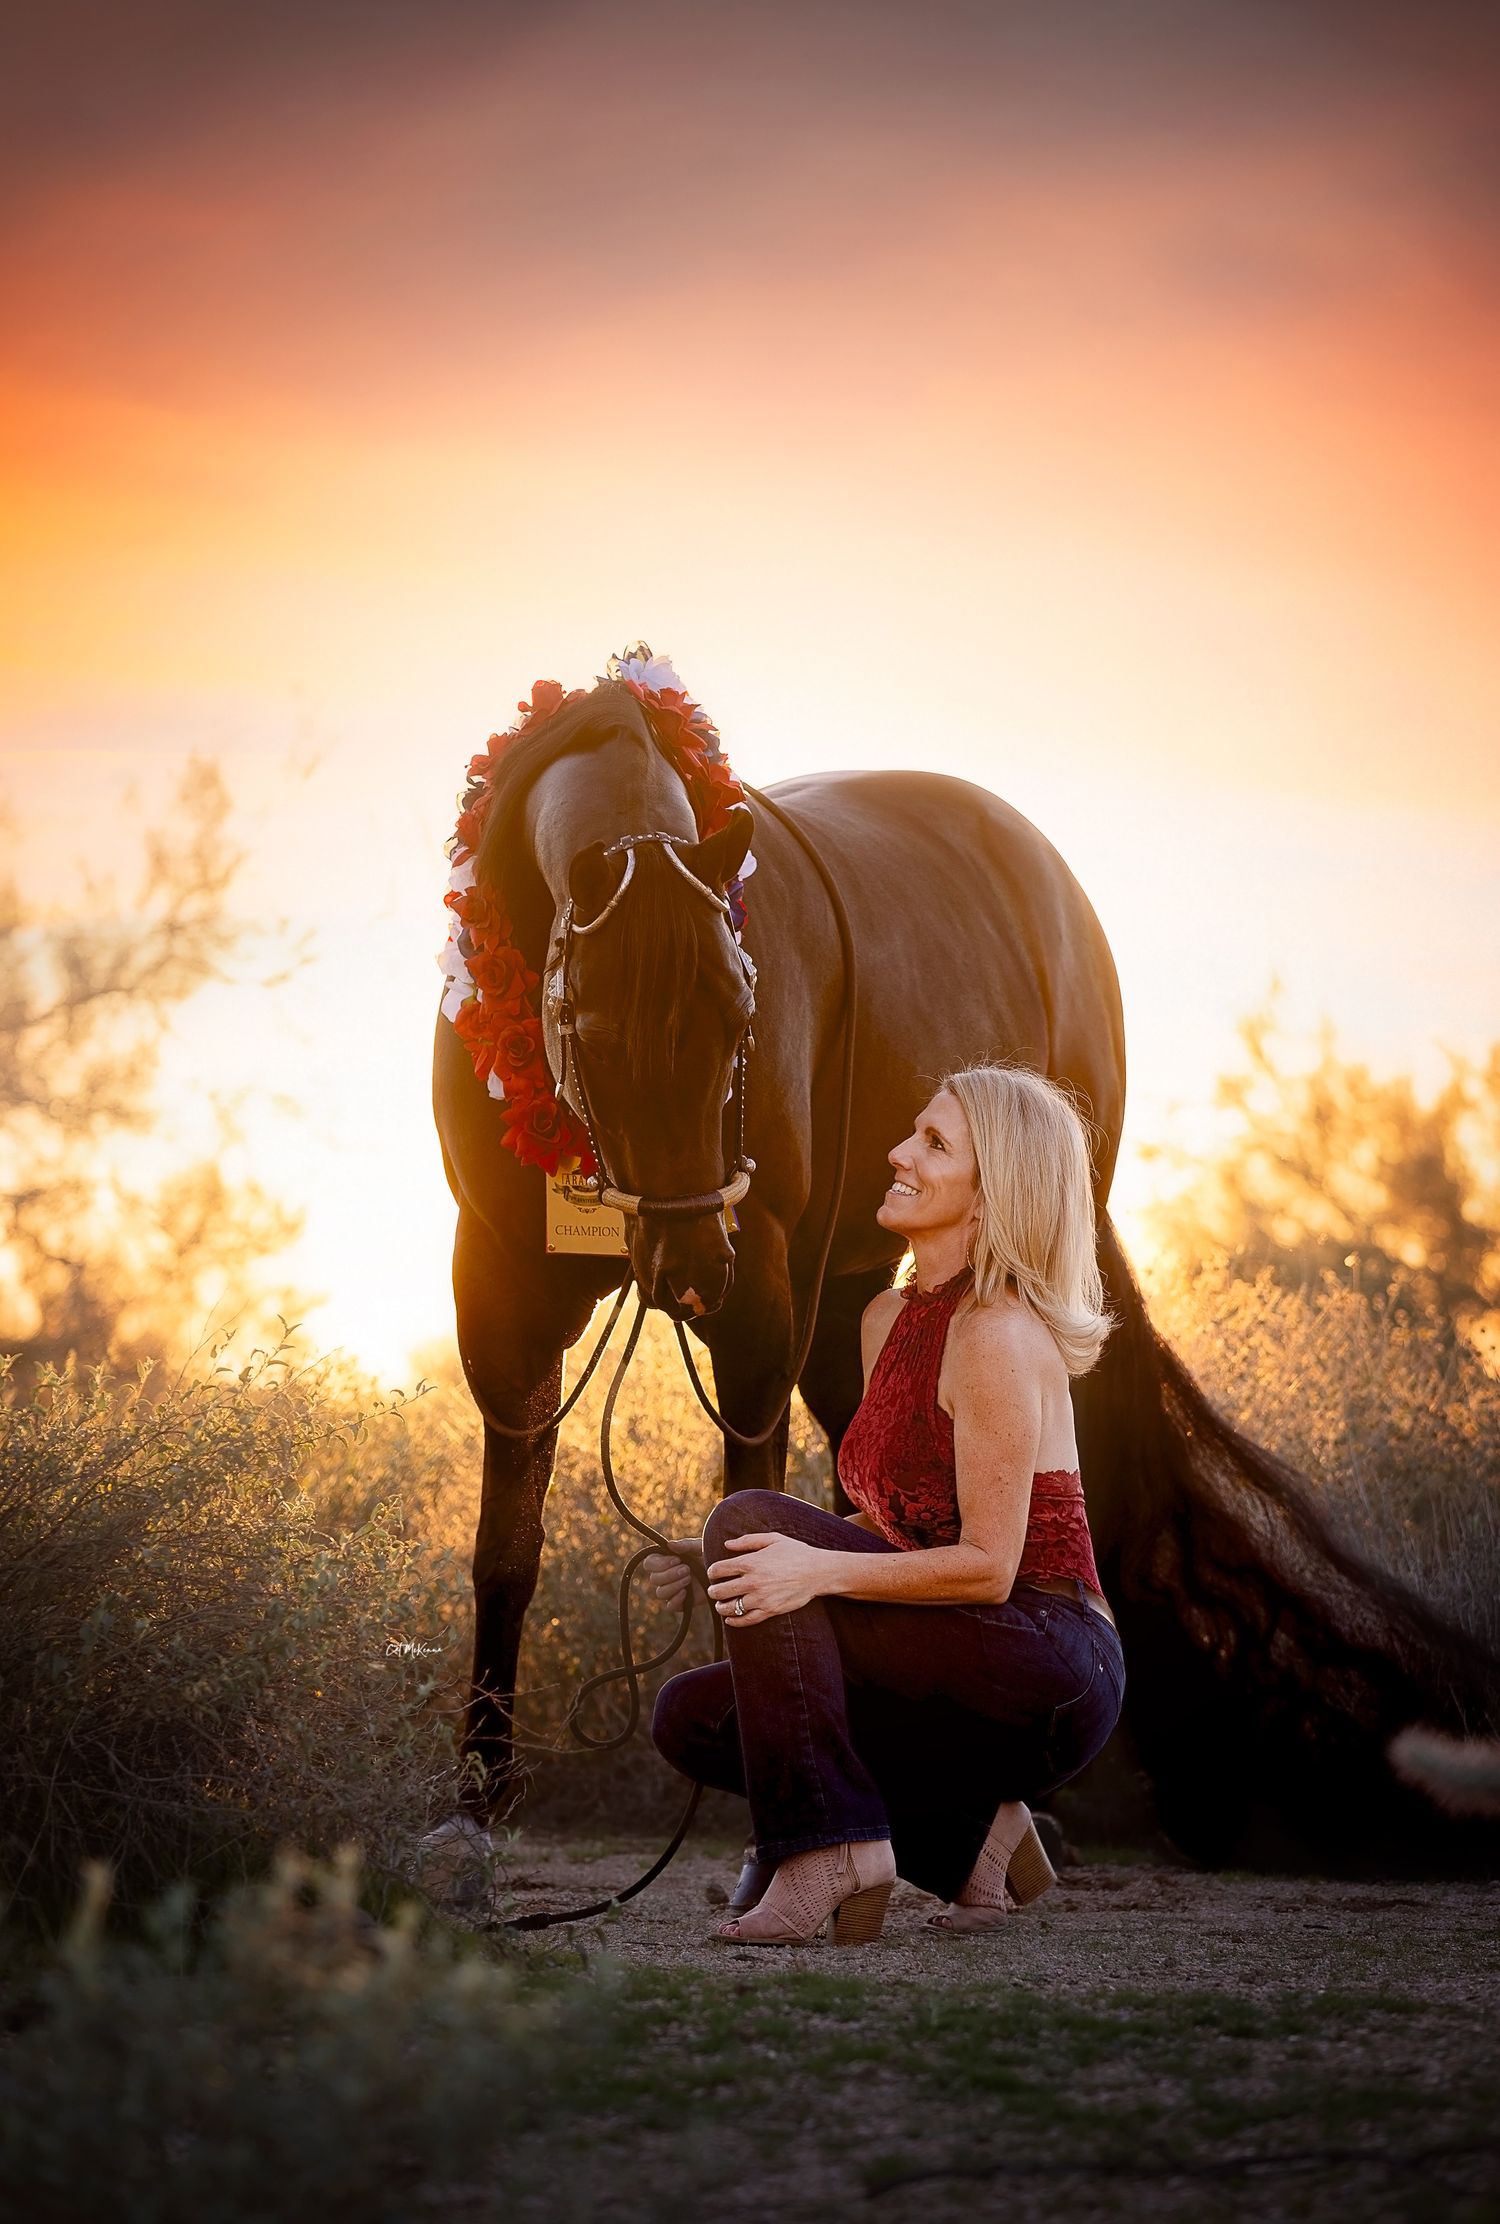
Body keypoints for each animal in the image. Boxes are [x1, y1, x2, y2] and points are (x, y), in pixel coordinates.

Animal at [433, 676, 1499, 1872]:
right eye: (586, 1022)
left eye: (742, 1012)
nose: (690, 1262)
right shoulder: (502, 1297)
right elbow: (505, 1549)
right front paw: (479, 1794)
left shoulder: (761, 1308)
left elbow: (742, 1515)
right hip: (851, 1294)